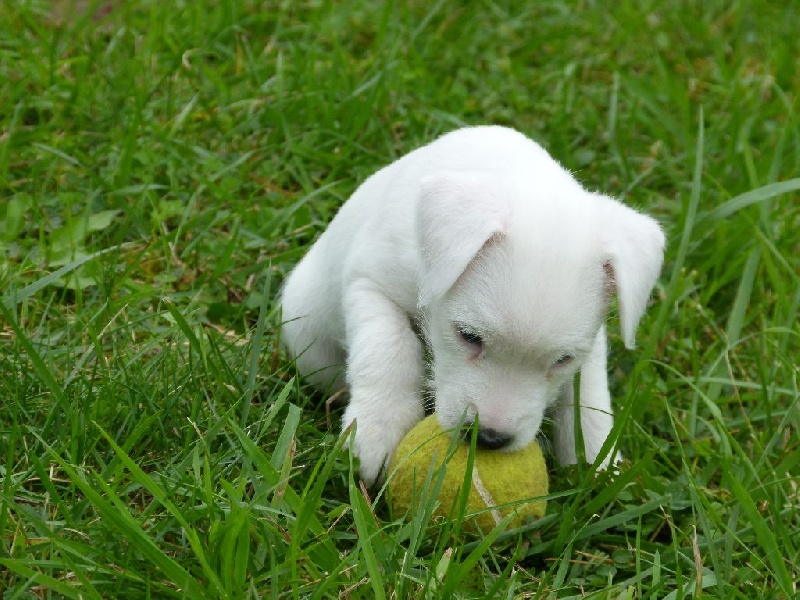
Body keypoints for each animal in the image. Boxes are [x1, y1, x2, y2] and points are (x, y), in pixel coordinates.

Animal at [280, 127, 664, 488]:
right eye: (468, 336)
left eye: (562, 360)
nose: (490, 438)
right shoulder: (371, 284)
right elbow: (390, 349)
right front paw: (379, 430)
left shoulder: (591, 346)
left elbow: (587, 395)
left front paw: (596, 463)